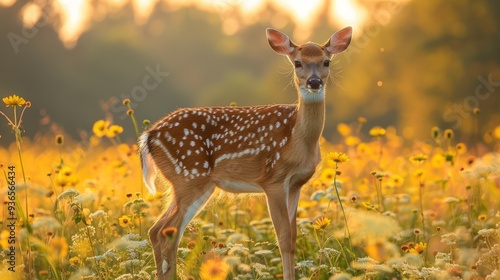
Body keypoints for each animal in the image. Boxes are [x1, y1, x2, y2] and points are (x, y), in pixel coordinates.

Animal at [139, 25, 354, 278]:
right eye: (297, 62)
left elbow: (292, 238)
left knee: (158, 230)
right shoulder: (273, 180)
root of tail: (150, 135)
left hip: (189, 183)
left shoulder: (296, 184)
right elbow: (283, 239)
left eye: (326, 62)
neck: (297, 138)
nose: (314, 82)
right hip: (189, 176)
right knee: (167, 230)